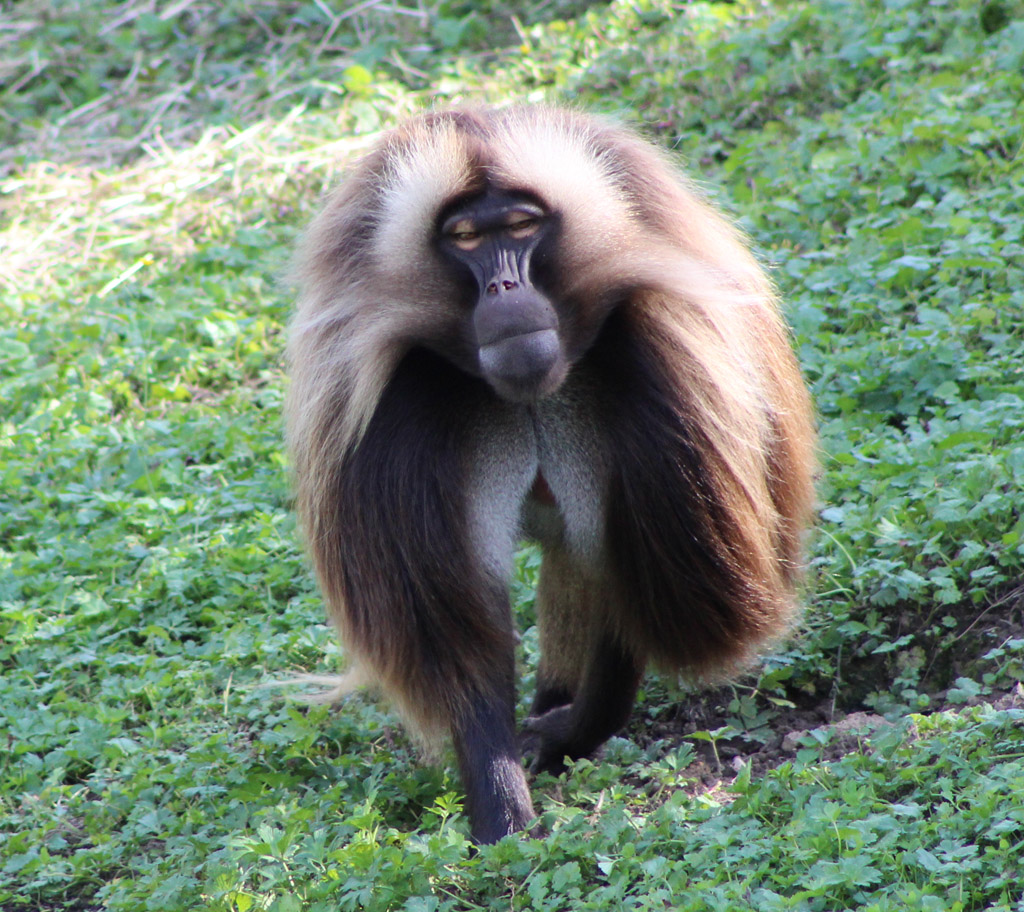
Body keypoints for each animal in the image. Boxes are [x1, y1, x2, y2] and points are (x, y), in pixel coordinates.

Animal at [282, 103, 815, 843]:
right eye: (465, 237)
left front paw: (568, 737)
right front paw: (503, 814)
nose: (505, 287)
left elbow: (629, 579)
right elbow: (467, 640)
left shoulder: (663, 365)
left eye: (521, 228)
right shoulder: (392, 414)